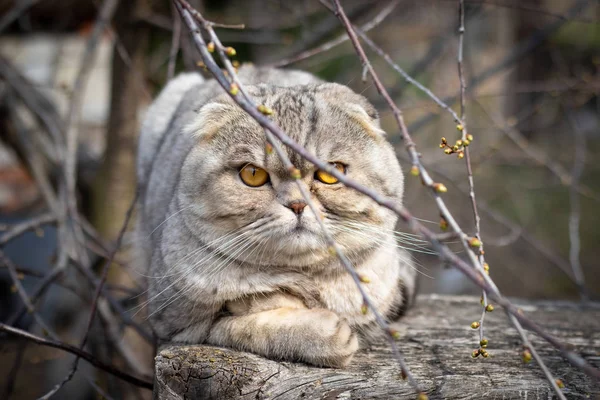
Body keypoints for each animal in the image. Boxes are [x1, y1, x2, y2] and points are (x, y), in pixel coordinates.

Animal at [135, 66, 418, 368]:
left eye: (330, 173)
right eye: (252, 174)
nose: (297, 205)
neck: (304, 278)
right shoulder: (180, 325)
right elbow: (252, 324)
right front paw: (324, 332)